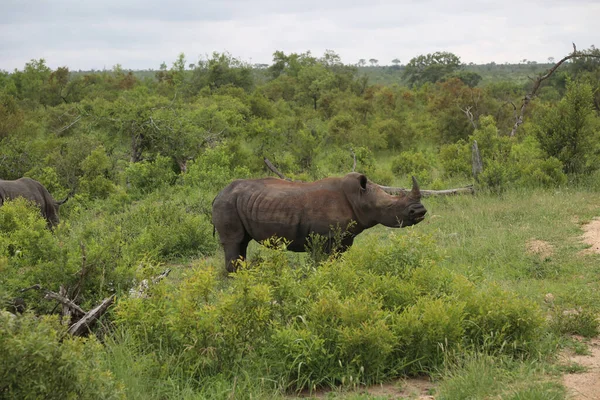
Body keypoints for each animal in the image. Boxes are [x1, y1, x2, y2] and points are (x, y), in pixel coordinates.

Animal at [211, 172, 426, 272]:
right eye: (390, 206)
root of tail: (217, 194)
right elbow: (323, 263)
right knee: (234, 241)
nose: (421, 211)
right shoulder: (324, 237)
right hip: (227, 203)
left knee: (243, 242)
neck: (360, 198)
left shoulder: (344, 237)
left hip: (239, 201)